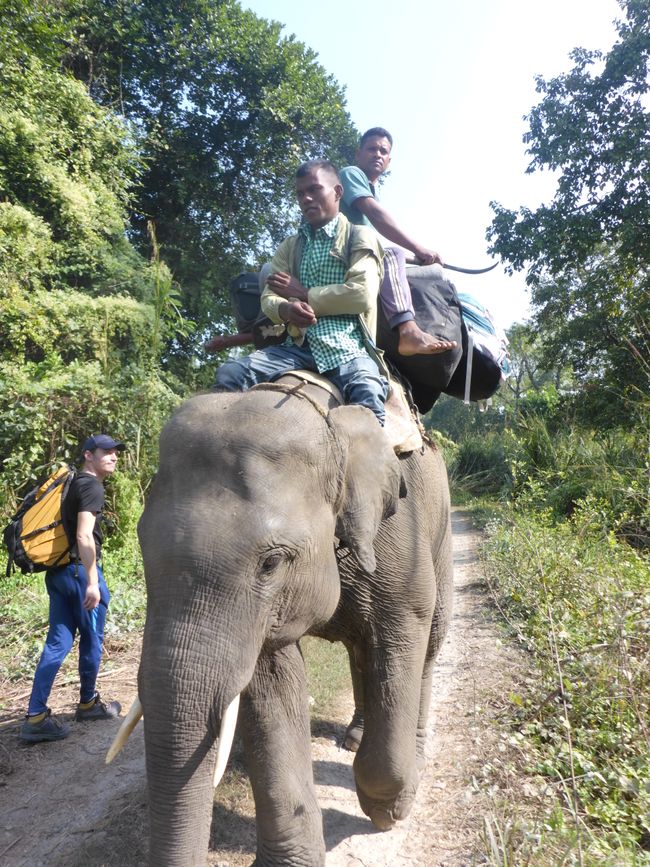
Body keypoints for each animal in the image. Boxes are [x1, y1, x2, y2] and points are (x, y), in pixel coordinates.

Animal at [110, 382, 450, 867]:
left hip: (440, 530)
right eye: (140, 545)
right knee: (358, 651)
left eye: (270, 563)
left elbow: (403, 633)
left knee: (429, 640)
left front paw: (387, 812)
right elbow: (269, 679)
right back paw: (353, 736)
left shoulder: (399, 534)